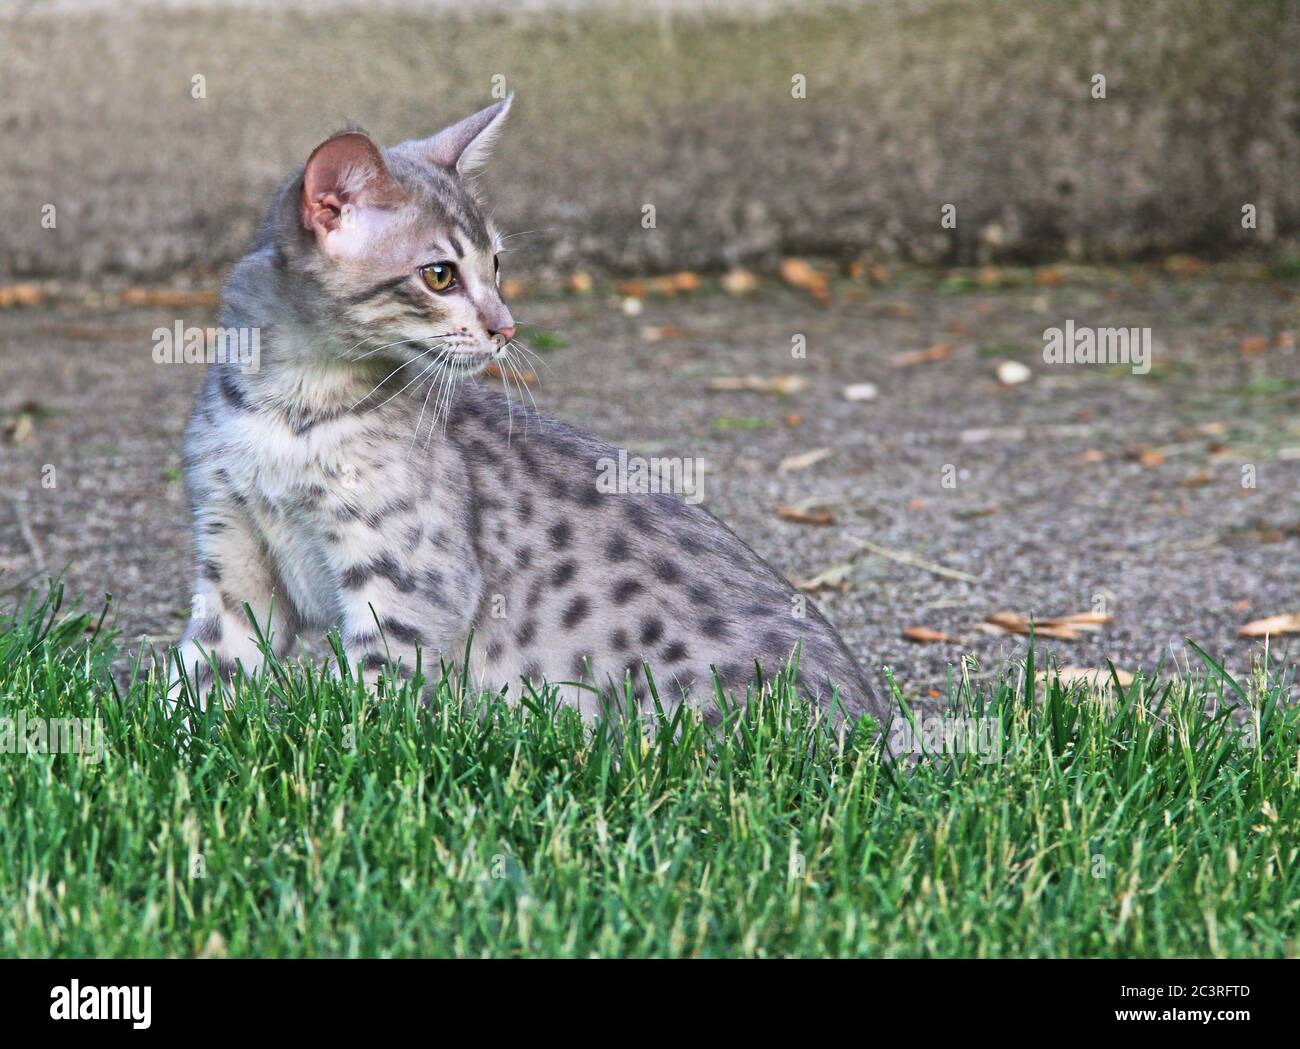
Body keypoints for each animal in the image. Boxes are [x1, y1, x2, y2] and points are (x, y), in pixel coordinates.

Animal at [172, 96, 883, 727]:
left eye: (496, 264)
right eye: (439, 275)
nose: (506, 328)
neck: (291, 412)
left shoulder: (409, 590)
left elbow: (375, 699)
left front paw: (352, 752)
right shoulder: (233, 559)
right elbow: (203, 673)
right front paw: (183, 738)